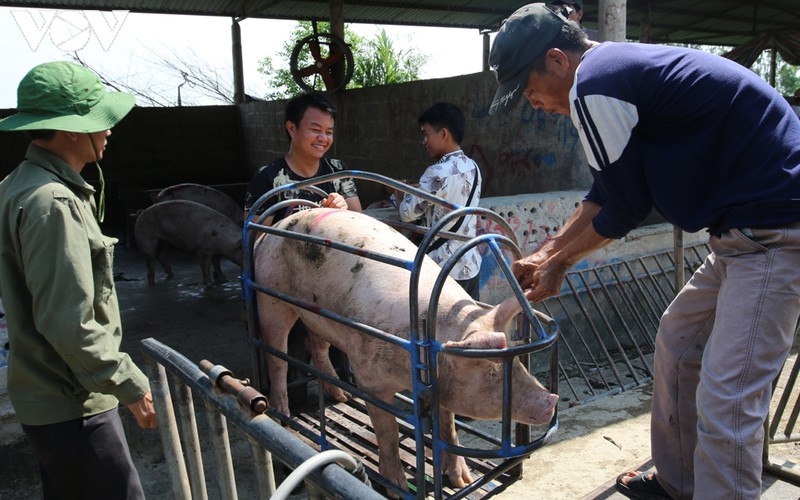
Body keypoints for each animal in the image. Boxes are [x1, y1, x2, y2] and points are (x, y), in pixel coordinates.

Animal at [256, 206, 556, 492]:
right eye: (491, 373)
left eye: (517, 363)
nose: (551, 399)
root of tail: (273, 227)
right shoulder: (370, 381)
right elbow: (387, 433)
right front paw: (397, 486)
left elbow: (448, 428)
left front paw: (463, 481)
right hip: (270, 296)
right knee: (276, 357)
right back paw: (283, 416)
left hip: (318, 313)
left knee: (316, 344)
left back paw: (341, 396)